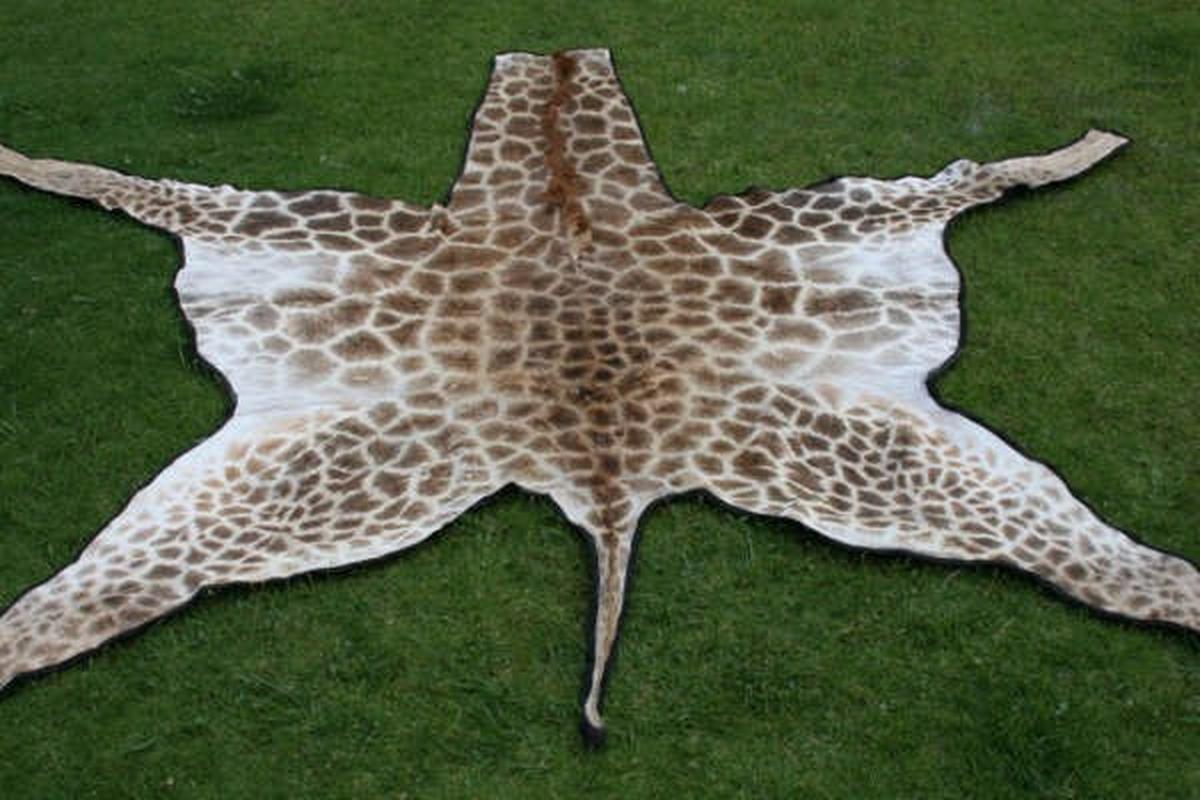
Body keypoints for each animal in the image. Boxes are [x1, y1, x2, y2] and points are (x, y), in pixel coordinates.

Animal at [0, 48, 1196, 743]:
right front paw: (29, 161)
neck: (566, 189)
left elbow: (984, 170)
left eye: (564, 79)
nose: (555, 48)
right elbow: (127, 181)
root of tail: (611, 476)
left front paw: (1084, 144)